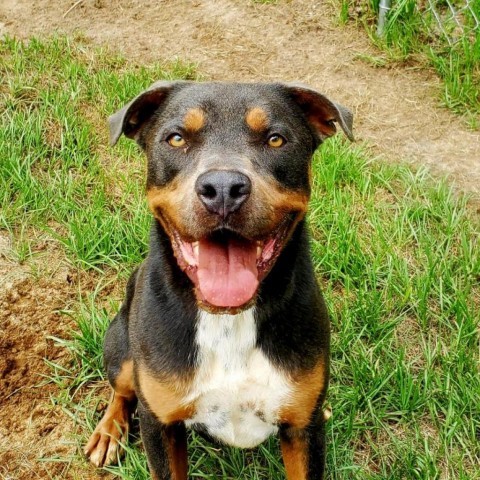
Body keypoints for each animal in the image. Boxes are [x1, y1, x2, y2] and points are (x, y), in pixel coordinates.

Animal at [84, 80, 352, 478]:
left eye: (276, 139)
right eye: (176, 138)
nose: (223, 187)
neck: (228, 319)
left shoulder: (304, 429)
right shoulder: (160, 426)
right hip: (120, 345)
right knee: (122, 389)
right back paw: (108, 431)